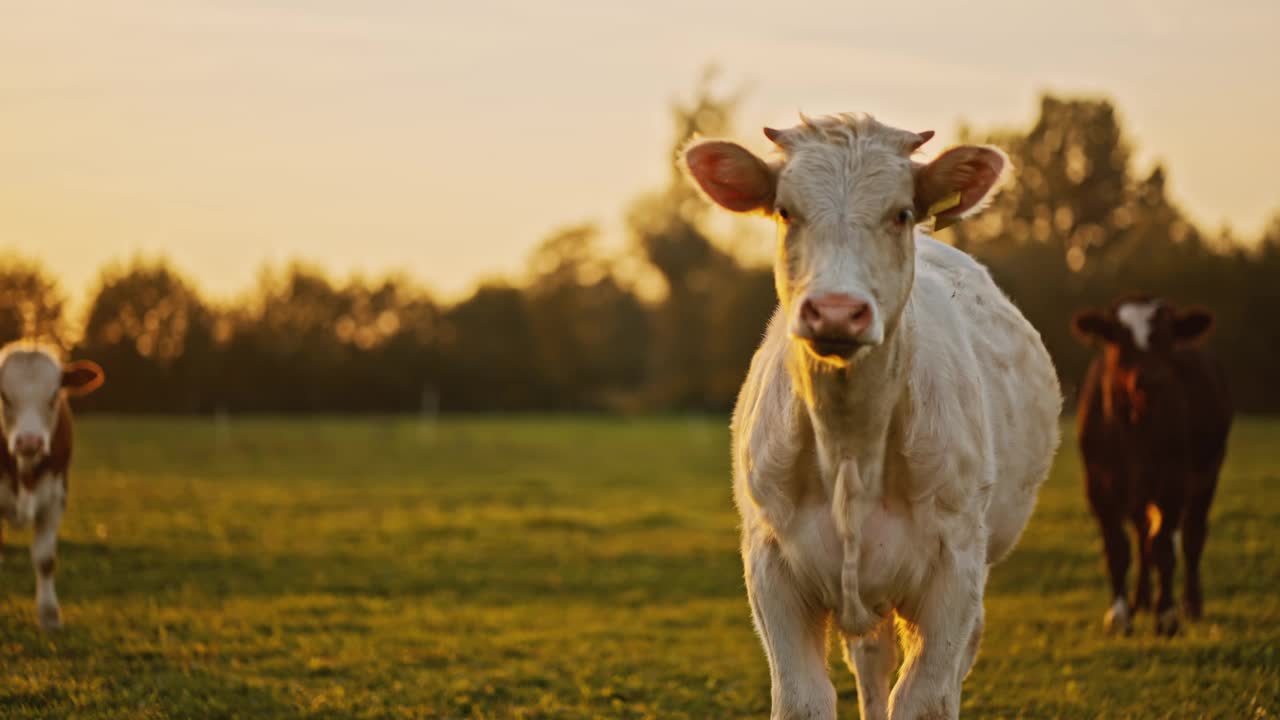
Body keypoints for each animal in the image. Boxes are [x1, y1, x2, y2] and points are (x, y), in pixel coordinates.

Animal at [0, 340, 103, 627]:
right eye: (3, 395)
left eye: (54, 394)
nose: (29, 441)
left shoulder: (55, 498)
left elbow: (45, 559)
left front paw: (49, 616)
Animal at [680, 113, 1059, 717]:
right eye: (785, 210)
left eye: (900, 212)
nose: (836, 311)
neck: (850, 449)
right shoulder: (771, 569)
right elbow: (804, 697)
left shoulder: (954, 570)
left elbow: (925, 697)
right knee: (872, 658)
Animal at [1075, 295, 1233, 632]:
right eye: (1118, 337)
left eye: (1167, 337)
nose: (1152, 379)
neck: (1135, 423)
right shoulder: (1098, 484)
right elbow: (1117, 548)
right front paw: (1120, 613)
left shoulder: (1173, 481)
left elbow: (1163, 547)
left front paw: (1167, 615)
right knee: (1141, 537)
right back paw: (1141, 600)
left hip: (1207, 474)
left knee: (1191, 537)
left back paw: (1190, 604)